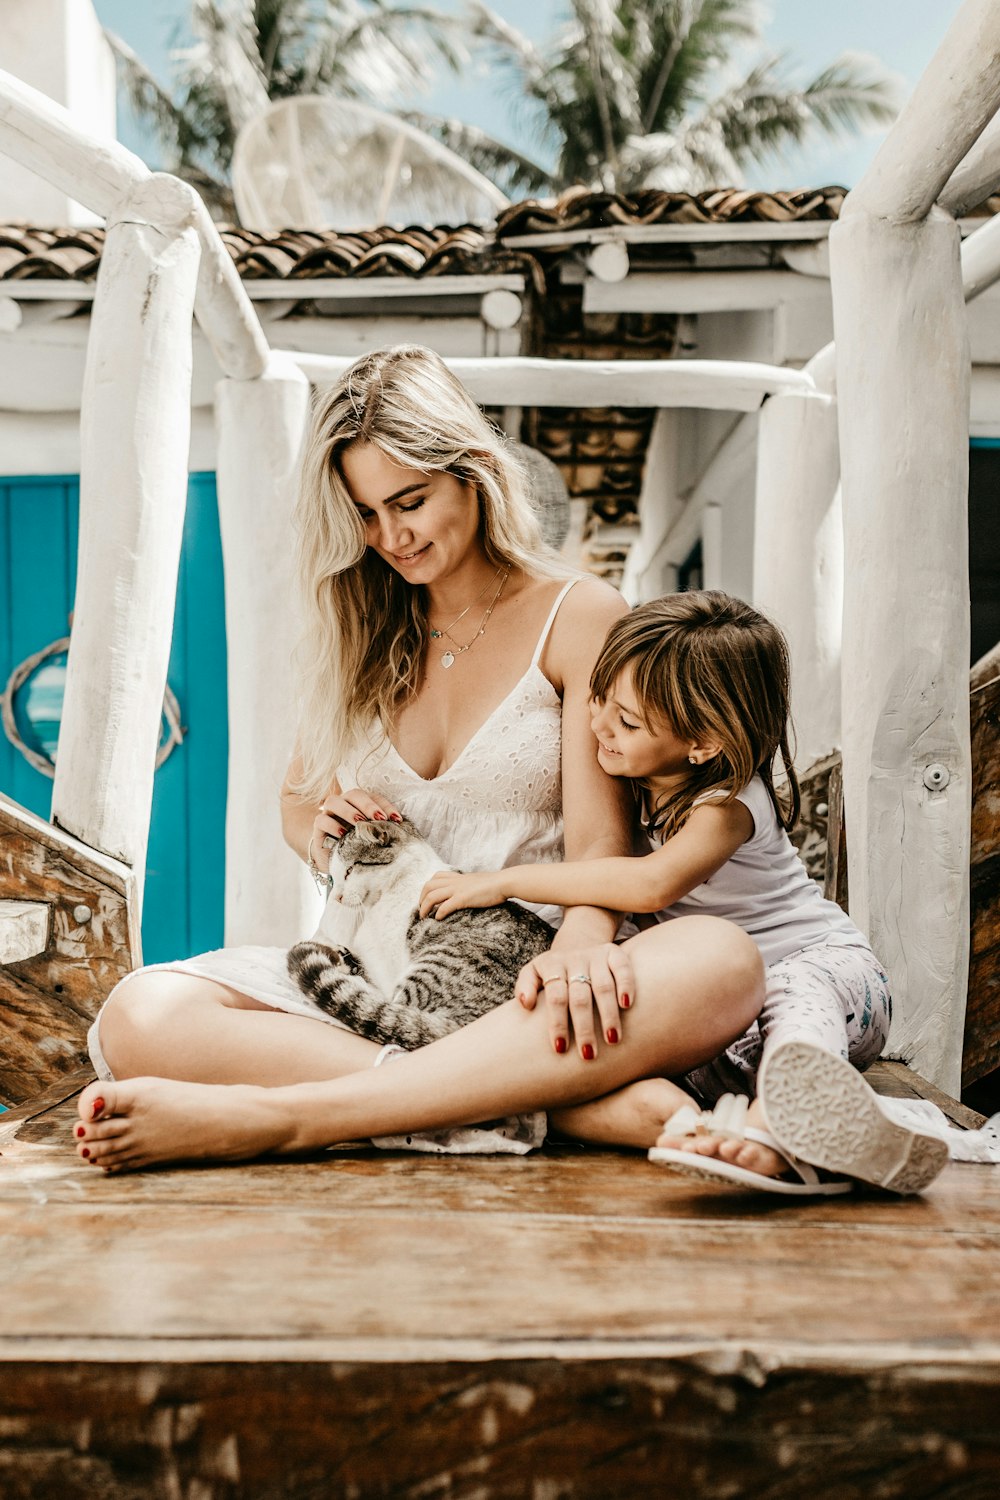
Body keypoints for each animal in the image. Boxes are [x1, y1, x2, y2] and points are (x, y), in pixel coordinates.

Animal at [287, 816, 554, 1050]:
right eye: (332, 877)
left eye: (350, 870)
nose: (338, 897)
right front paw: (344, 955)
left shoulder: (386, 963)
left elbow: (378, 988)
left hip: (436, 964)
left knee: (389, 1007)